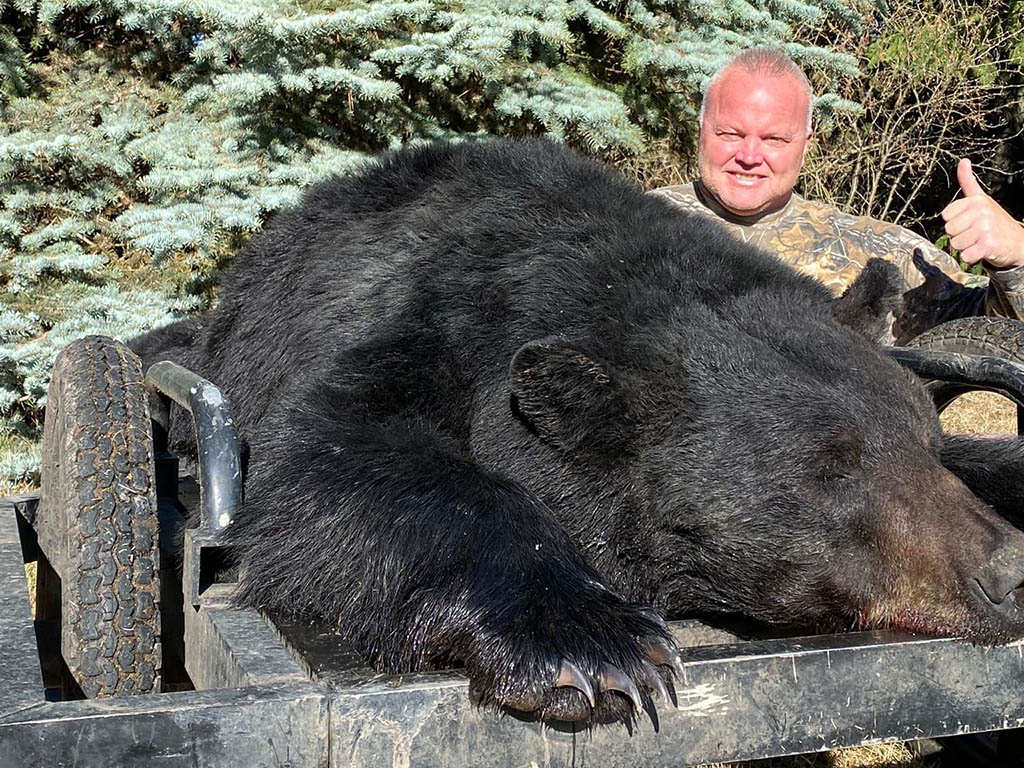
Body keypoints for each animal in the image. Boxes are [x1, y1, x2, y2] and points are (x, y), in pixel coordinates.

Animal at [132, 140, 1024, 729]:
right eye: (832, 465)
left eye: (923, 440)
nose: (1008, 573)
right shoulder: (420, 323)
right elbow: (332, 470)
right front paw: (590, 643)